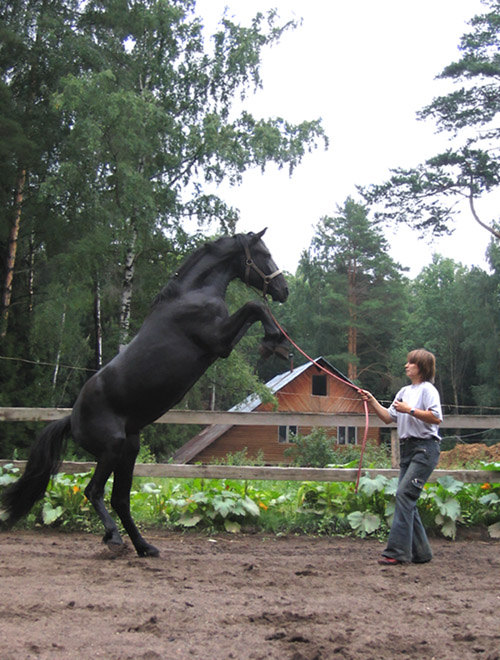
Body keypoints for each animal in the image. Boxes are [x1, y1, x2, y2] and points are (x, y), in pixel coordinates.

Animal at [0, 229, 290, 556]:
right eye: (264, 254)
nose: (284, 290)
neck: (193, 294)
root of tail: (71, 420)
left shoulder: (222, 345)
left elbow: (253, 311)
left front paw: (275, 343)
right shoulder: (218, 340)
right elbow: (255, 306)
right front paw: (274, 339)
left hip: (129, 451)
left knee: (120, 499)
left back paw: (144, 545)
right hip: (112, 448)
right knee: (94, 491)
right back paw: (114, 538)